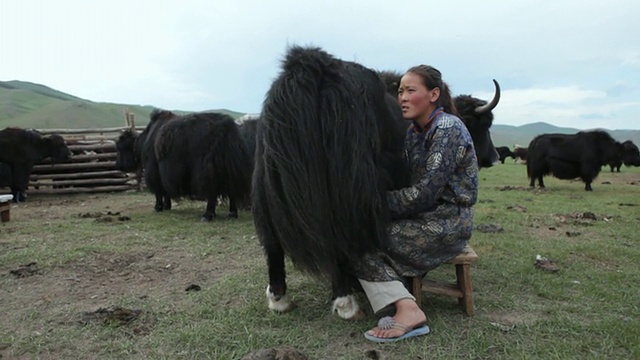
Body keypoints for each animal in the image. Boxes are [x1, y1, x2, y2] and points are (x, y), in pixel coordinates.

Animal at [252, 46, 408, 320]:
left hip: (266, 184)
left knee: (272, 241)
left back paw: (279, 299)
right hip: (347, 185)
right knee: (340, 237)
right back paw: (346, 302)